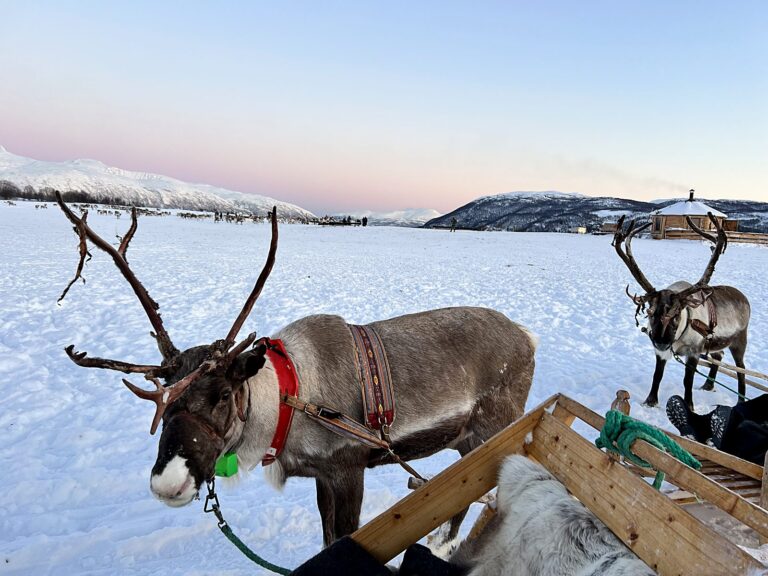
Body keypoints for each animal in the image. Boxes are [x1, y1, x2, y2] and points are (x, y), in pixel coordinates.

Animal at [53, 191, 536, 552]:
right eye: (165, 398)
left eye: (224, 394)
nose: (167, 484)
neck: (289, 400)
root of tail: (528, 337)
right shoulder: (321, 475)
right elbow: (326, 539)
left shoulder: (348, 467)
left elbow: (344, 536)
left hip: (492, 430)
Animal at [613, 212, 750, 410]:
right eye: (650, 312)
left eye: (677, 314)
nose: (662, 342)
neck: (679, 337)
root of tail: (744, 298)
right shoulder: (660, 352)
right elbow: (657, 375)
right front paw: (650, 401)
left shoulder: (694, 352)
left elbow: (688, 381)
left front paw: (689, 406)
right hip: (716, 345)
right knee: (719, 355)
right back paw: (708, 386)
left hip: (739, 340)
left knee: (741, 369)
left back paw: (740, 400)